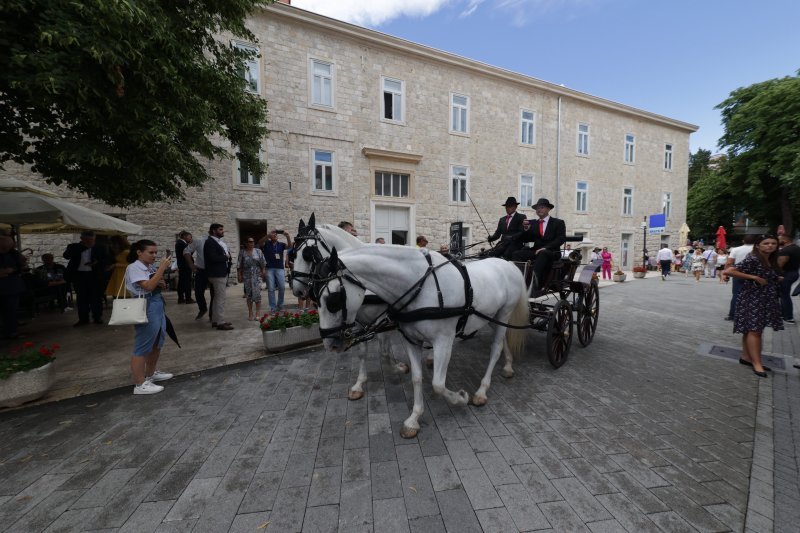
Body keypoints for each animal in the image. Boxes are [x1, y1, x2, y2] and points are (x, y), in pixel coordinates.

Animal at [290, 216, 406, 400]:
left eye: (308, 254)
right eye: (293, 253)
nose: (297, 290)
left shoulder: (384, 317)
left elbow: (384, 349)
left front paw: (395, 367)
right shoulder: (357, 321)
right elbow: (363, 352)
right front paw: (359, 383)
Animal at [314, 245, 532, 436]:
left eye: (333, 300)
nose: (329, 344)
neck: (422, 287)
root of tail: (508, 264)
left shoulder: (443, 341)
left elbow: (438, 384)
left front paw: (461, 398)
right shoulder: (411, 340)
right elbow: (417, 378)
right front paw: (414, 419)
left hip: (504, 313)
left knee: (495, 348)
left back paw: (482, 391)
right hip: (491, 318)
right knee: (503, 340)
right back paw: (508, 366)